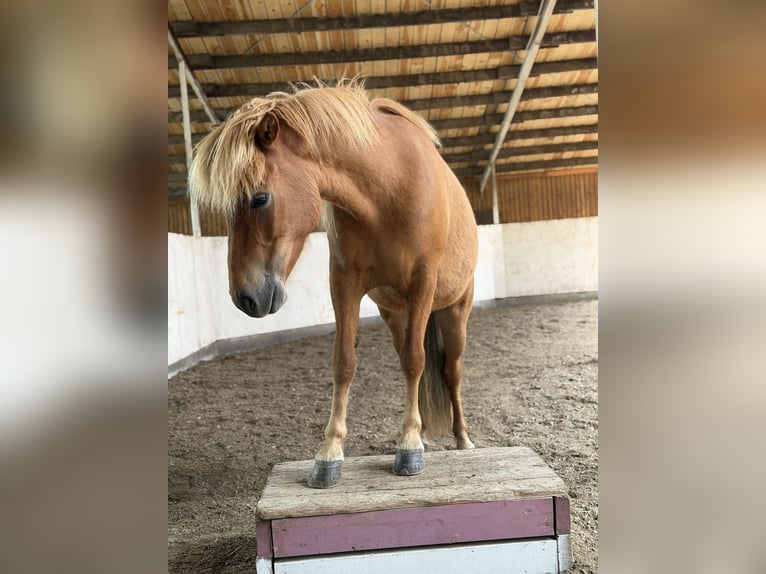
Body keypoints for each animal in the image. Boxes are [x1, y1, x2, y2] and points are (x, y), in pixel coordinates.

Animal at [189, 79, 478, 488]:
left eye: (259, 198)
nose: (244, 298)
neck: (388, 187)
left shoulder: (422, 282)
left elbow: (416, 360)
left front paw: (408, 447)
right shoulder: (344, 284)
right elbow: (345, 362)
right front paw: (329, 454)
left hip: (455, 312)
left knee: (450, 371)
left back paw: (462, 437)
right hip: (395, 315)